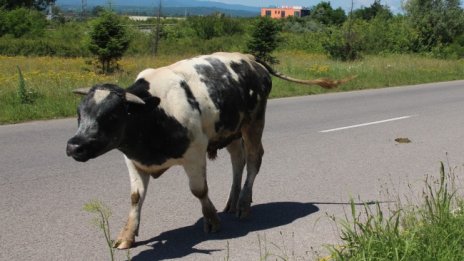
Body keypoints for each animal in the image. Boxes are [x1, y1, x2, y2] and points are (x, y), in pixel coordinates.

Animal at [64, 52, 348, 248]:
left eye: (112, 116)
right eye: (79, 113)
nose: (74, 146)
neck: (153, 114)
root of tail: (249, 57)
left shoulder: (195, 153)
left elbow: (199, 190)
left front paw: (211, 221)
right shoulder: (134, 160)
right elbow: (135, 198)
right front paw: (127, 235)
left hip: (254, 122)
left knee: (254, 160)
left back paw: (243, 204)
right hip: (231, 131)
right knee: (238, 161)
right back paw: (232, 201)